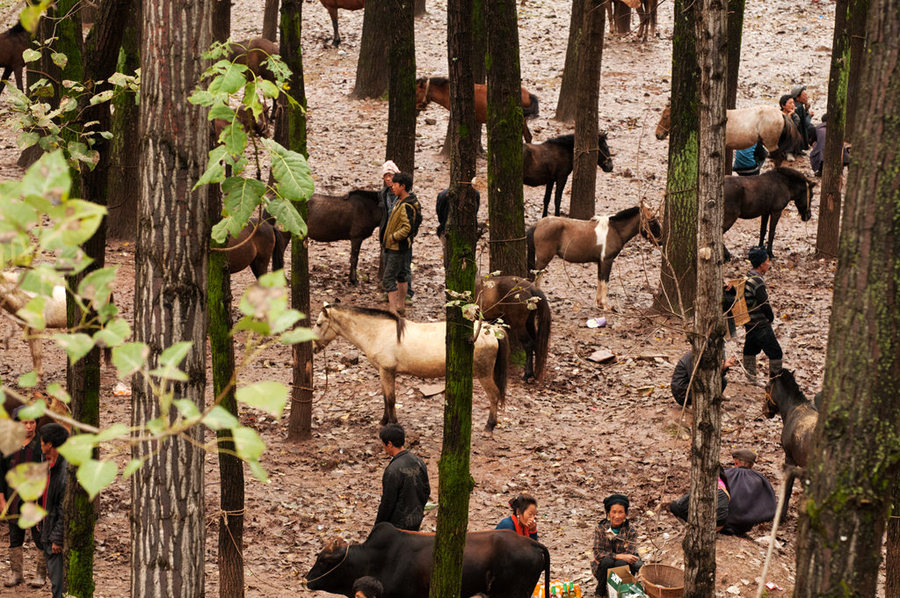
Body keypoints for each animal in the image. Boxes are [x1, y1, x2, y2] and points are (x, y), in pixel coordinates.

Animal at [312, 302, 506, 434]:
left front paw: (394, 423)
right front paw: (384, 421)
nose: (313, 347)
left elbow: (391, 399)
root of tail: (492, 329)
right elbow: (385, 398)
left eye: (319, 324)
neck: (379, 332)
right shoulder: (384, 372)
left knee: (494, 395)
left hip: (484, 375)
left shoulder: (387, 371)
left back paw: (489, 426)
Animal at [528, 205, 660, 310]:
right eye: (652, 221)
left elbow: (599, 280)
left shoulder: (600, 262)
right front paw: (605, 305)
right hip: (543, 259)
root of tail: (538, 224)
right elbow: (605, 281)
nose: (660, 241)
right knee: (536, 276)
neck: (614, 230)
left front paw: (599, 304)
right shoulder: (607, 261)